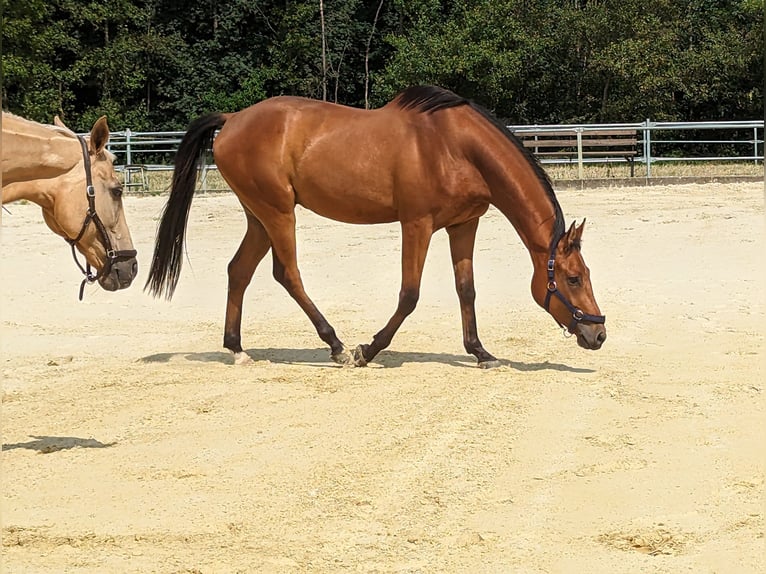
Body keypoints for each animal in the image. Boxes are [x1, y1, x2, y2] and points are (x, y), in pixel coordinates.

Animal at [147, 84, 608, 368]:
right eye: (572, 278)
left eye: (587, 274)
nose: (598, 334)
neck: (456, 147)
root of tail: (233, 118)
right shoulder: (417, 224)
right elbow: (409, 294)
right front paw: (368, 349)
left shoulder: (463, 225)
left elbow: (467, 290)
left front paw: (480, 352)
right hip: (278, 213)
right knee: (287, 273)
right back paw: (335, 345)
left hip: (258, 216)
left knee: (239, 271)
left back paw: (237, 349)